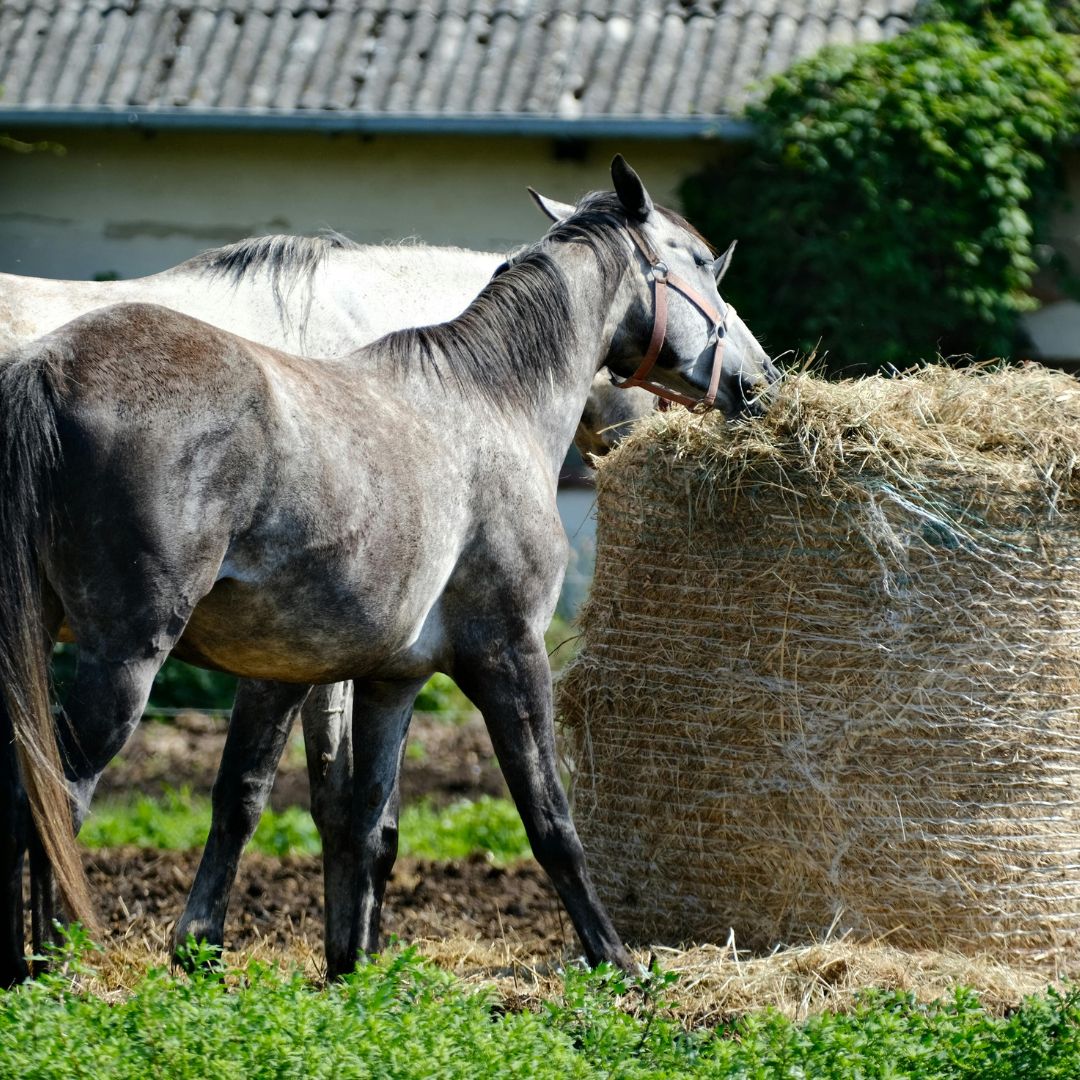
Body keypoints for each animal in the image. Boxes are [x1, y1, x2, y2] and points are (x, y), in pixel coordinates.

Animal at [0, 156, 777, 982]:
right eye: (702, 264)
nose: (758, 381)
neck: (488, 398)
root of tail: (45, 366)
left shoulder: (382, 679)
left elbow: (357, 817)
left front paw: (350, 966)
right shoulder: (508, 653)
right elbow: (548, 820)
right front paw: (616, 961)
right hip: (122, 659)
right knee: (58, 796)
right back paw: (50, 964)